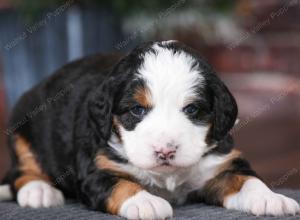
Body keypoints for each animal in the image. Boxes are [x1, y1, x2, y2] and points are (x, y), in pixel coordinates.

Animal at [0, 40, 298, 218]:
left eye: (192, 109)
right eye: (137, 110)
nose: (165, 151)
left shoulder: (219, 163)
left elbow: (245, 179)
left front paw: (271, 198)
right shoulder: (97, 167)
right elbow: (120, 183)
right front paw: (145, 202)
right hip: (23, 126)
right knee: (20, 172)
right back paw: (39, 191)